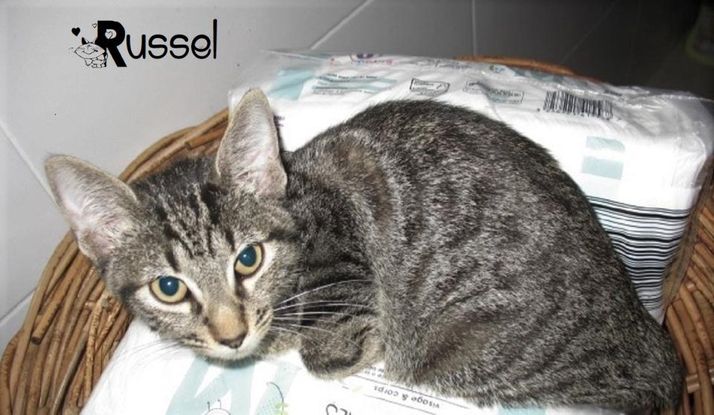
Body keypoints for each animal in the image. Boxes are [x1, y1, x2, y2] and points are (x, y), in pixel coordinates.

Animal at [45, 89, 682, 410]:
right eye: (169, 288)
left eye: (248, 259)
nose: (231, 336)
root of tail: (647, 332)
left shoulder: (347, 277)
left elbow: (329, 350)